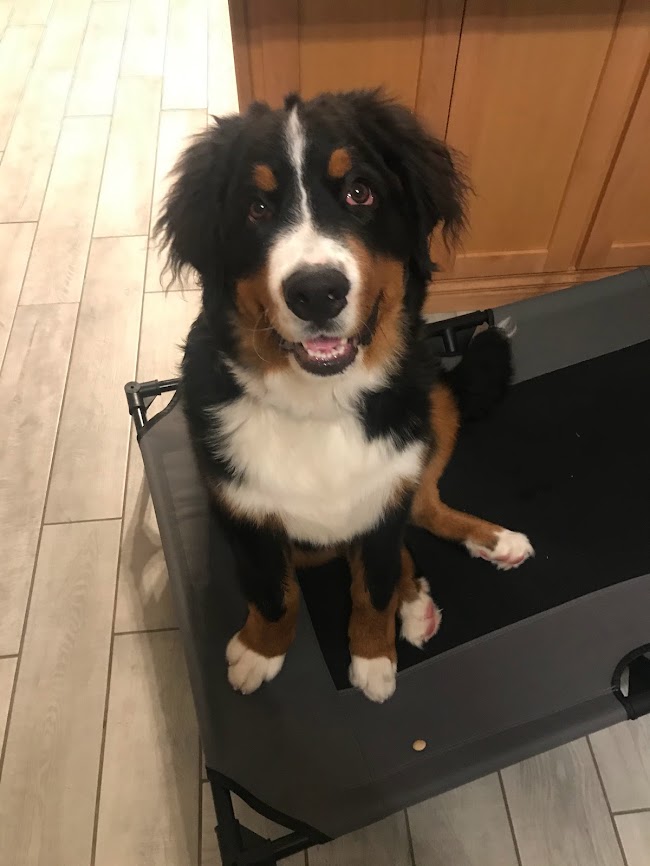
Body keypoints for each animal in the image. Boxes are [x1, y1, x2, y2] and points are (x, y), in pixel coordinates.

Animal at [156, 89, 532, 704]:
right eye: (257, 209)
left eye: (360, 192)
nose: (316, 292)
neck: (321, 404)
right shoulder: (248, 517)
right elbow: (274, 594)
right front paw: (260, 652)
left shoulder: (384, 495)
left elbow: (371, 589)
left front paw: (373, 656)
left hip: (432, 406)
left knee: (422, 506)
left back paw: (490, 544)